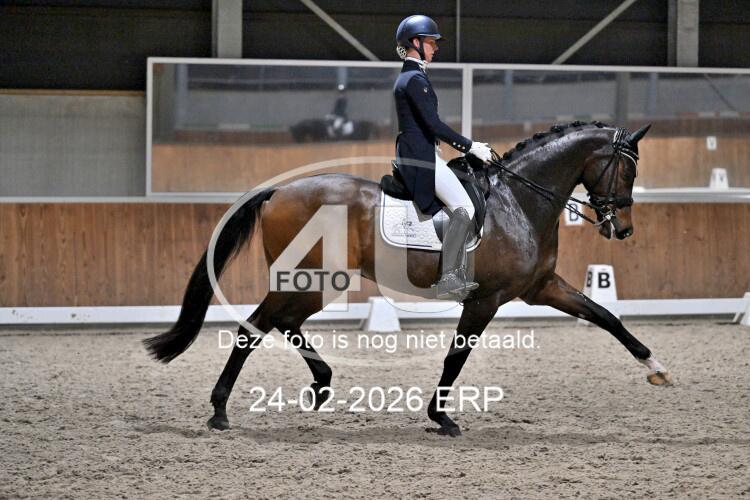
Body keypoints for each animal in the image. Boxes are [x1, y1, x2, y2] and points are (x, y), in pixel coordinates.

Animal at [144, 121, 672, 437]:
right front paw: (442, 417)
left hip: (320, 281)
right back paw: (221, 410)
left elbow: (605, 316)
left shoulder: (542, 288)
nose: (622, 228)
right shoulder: (485, 300)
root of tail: (278, 191)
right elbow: (457, 356)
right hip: (310, 277)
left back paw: (320, 384)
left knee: (282, 323)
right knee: (254, 327)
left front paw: (656, 367)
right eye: (626, 170)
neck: (518, 202)